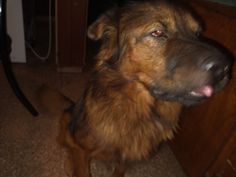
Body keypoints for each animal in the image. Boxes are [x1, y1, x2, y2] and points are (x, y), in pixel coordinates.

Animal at [41, 0, 232, 176]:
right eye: (157, 32)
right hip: (67, 119)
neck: (142, 112)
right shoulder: (82, 149)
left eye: (197, 33)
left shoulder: (128, 155)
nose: (224, 68)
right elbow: (79, 160)